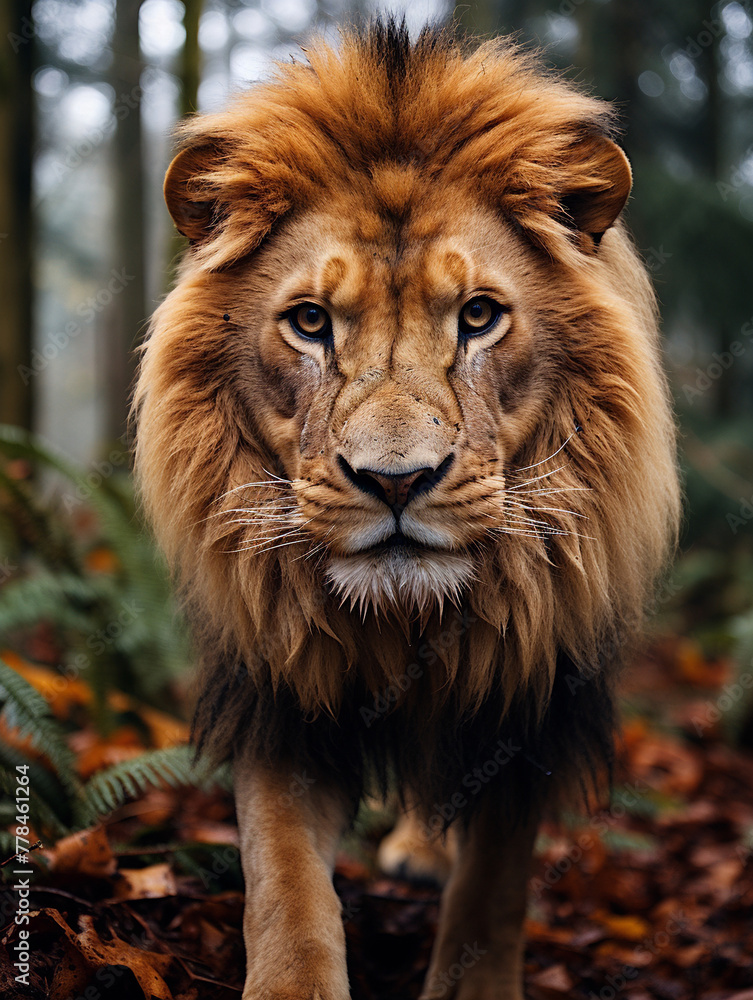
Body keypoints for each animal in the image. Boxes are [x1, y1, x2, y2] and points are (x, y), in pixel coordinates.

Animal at [133, 19, 680, 1000]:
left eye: (478, 316)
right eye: (310, 321)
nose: (394, 482)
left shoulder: (531, 686)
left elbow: (494, 879)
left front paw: (472, 980)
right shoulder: (279, 685)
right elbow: (283, 878)